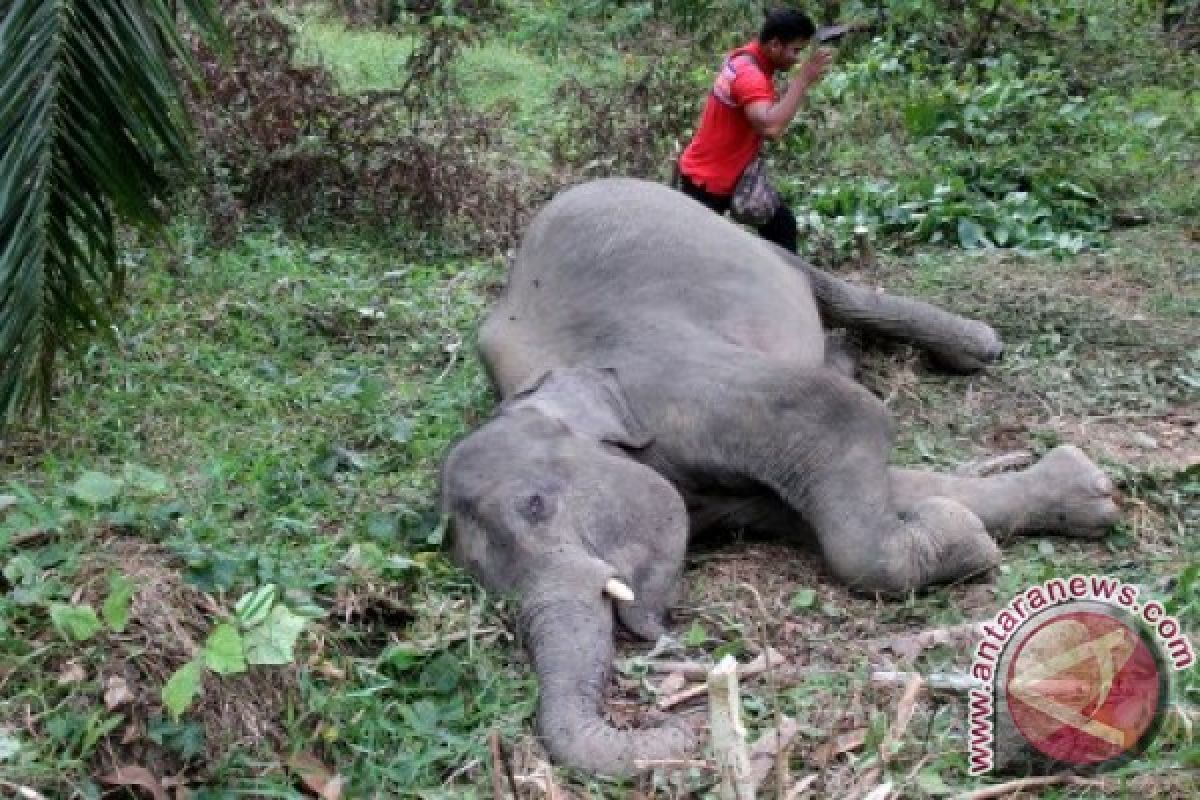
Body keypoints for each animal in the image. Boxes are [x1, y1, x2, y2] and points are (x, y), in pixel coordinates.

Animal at [441, 176, 1123, 777]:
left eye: (535, 504)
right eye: (490, 588)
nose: (682, 726)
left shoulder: (683, 388)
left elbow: (843, 420)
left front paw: (968, 538)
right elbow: (811, 508)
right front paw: (1054, 501)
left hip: (740, 241)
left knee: (826, 287)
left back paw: (973, 348)